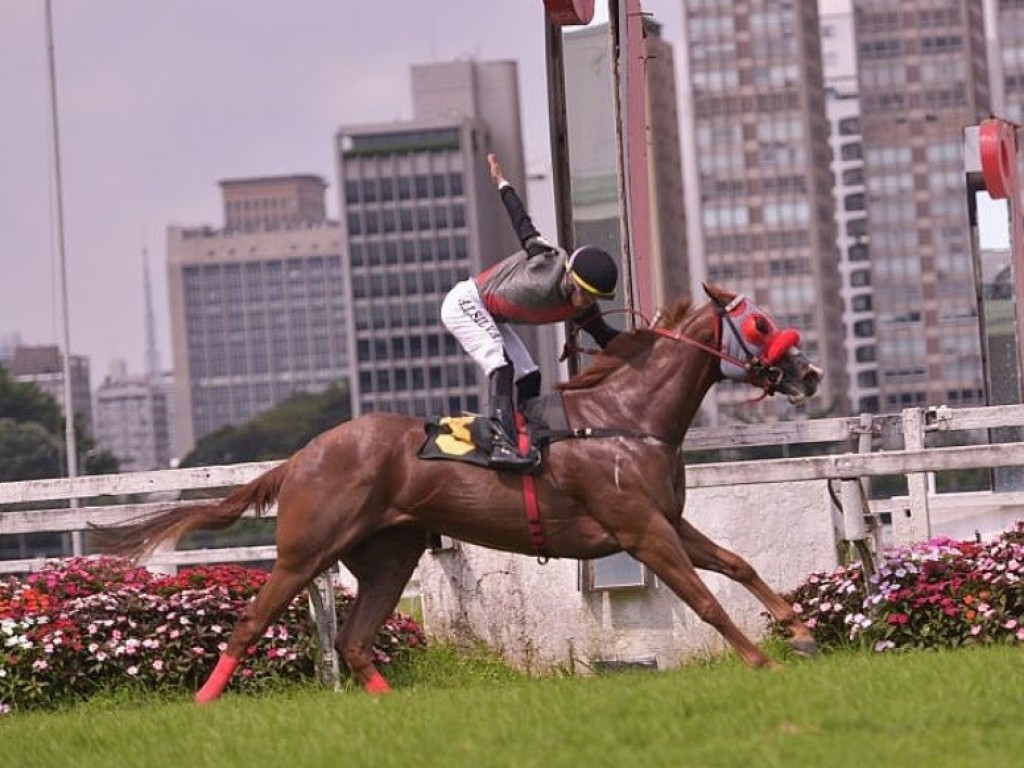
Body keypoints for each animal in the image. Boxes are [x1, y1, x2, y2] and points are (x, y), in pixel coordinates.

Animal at [90, 284, 823, 704]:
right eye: (761, 325)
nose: (810, 373)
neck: (624, 415)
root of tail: (300, 457)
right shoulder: (641, 531)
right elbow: (705, 598)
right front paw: (763, 661)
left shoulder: (666, 520)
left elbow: (737, 565)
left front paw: (801, 632)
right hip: (303, 553)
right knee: (252, 622)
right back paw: (204, 704)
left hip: (390, 554)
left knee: (354, 640)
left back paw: (389, 705)